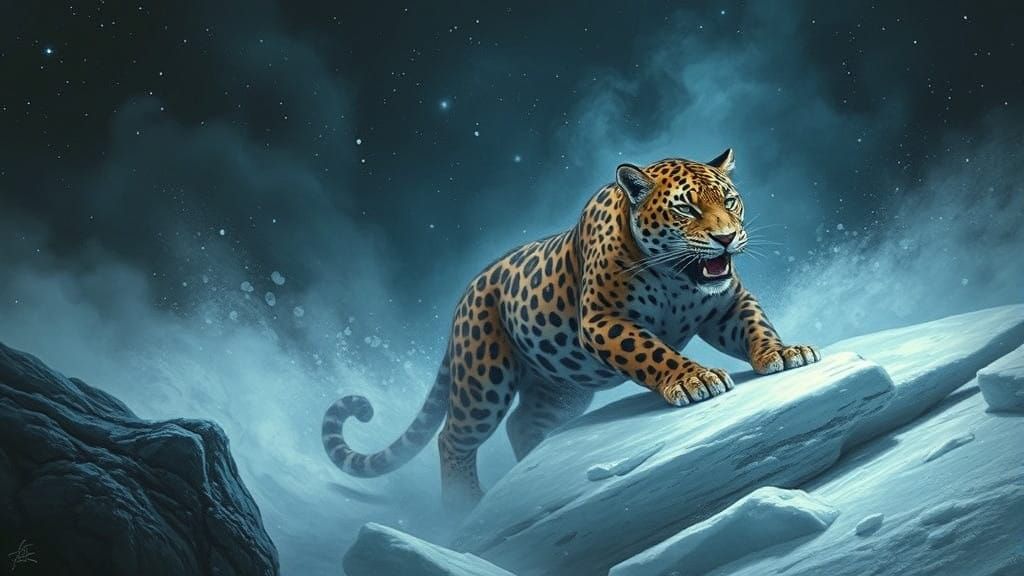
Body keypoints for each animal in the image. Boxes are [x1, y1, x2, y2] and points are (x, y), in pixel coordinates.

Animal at [321, 149, 820, 512]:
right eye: (686, 207)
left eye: (729, 201)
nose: (726, 238)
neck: (677, 277)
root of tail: (466, 293)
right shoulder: (603, 322)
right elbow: (650, 350)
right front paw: (693, 377)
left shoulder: (728, 303)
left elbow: (757, 326)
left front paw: (782, 353)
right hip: (484, 377)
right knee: (453, 437)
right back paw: (463, 505)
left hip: (561, 391)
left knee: (522, 422)